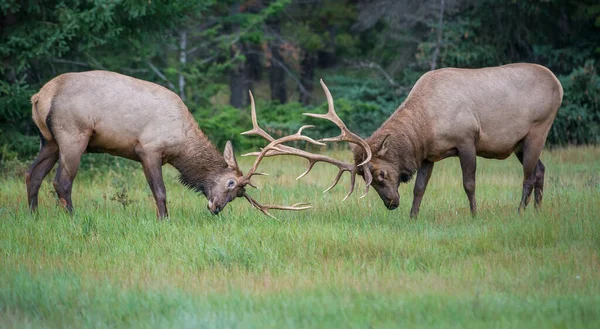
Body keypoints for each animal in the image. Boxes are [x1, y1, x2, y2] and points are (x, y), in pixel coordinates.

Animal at [25, 70, 312, 218]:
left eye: (239, 196)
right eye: (231, 184)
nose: (216, 208)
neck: (180, 147)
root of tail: (40, 96)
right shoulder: (148, 149)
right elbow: (160, 192)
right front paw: (163, 220)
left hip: (49, 140)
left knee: (32, 174)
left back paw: (34, 215)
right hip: (73, 134)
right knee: (62, 182)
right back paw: (72, 218)